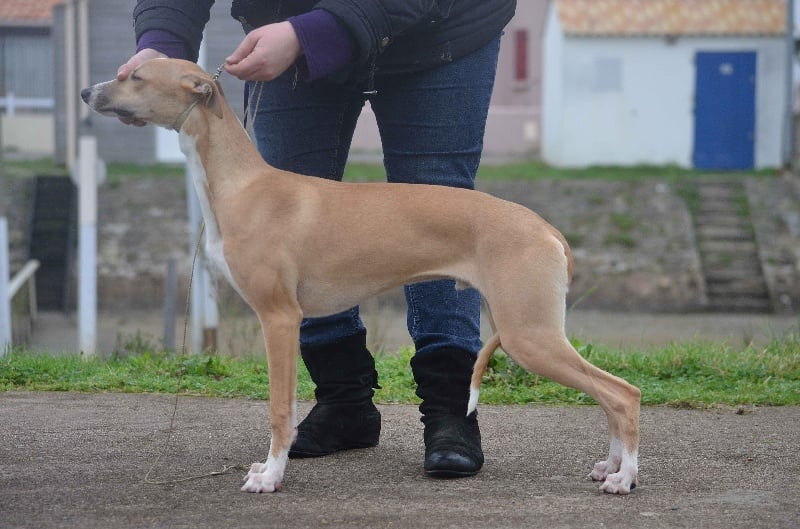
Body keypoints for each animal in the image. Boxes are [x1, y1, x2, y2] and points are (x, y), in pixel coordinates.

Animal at [81, 58, 640, 496]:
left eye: (134, 76)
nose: (87, 92)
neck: (244, 184)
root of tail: (547, 228)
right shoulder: (288, 319)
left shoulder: (279, 318)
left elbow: (279, 409)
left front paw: (271, 476)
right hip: (535, 333)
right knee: (609, 397)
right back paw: (610, 467)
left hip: (530, 335)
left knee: (622, 393)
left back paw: (624, 477)